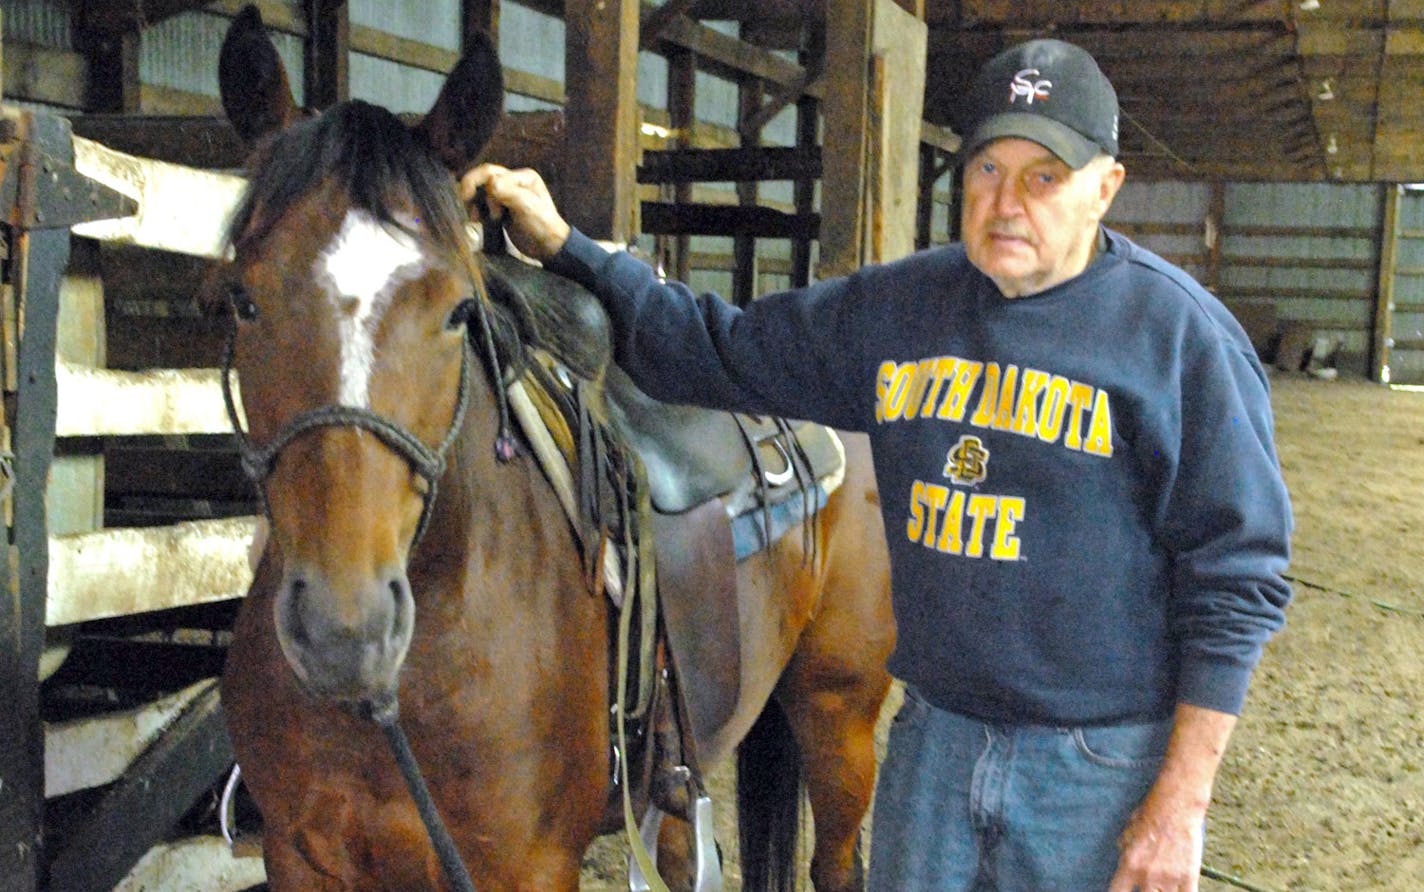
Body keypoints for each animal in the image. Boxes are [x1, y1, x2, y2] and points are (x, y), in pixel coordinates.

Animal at [213, 8, 888, 889]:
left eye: (458, 311)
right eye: (243, 299)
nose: (344, 630)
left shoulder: (525, 866)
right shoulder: (301, 859)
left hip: (840, 712)